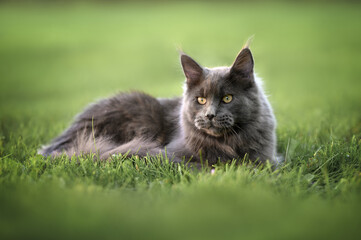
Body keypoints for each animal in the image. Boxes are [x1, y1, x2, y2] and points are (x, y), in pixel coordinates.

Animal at [38, 45, 276, 167]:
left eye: (227, 98)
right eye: (200, 100)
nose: (209, 115)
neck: (228, 143)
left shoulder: (268, 159)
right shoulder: (176, 153)